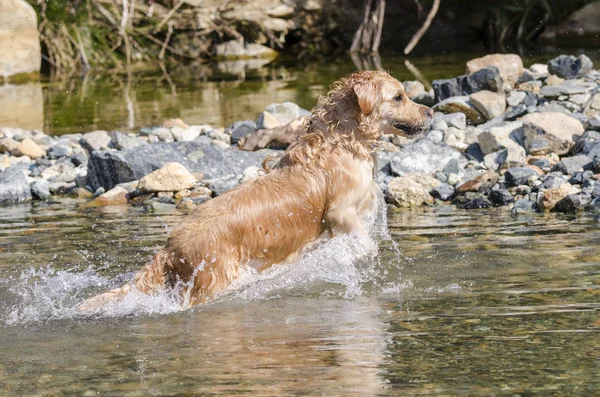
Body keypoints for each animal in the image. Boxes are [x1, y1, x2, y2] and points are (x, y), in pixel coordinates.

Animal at [79, 70, 434, 310]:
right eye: (398, 97)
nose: (431, 111)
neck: (343, 141)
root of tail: (170, 247)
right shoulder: (340, 212)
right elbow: (363, 244)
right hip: (217, 280)